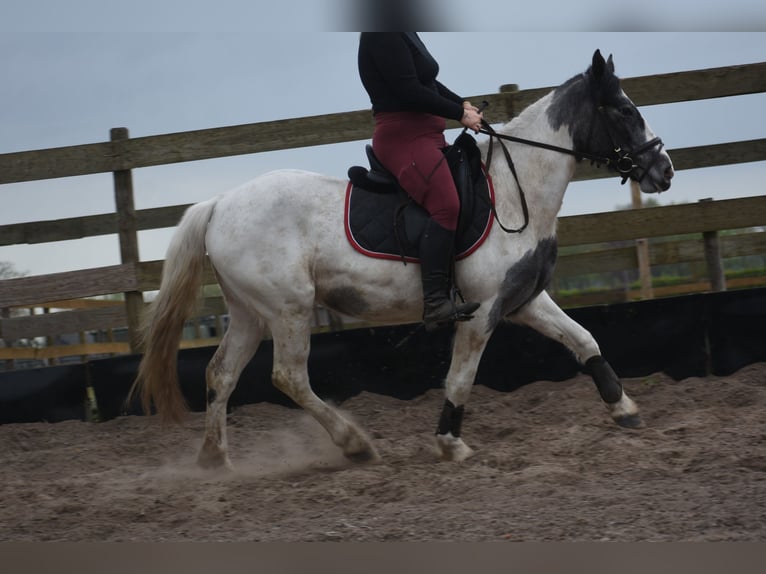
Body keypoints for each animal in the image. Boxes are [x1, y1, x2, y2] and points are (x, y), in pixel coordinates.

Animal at [131, 50, 674, 469]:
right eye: (624, 110)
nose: (664, 170)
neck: (513, 192)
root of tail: (220, 203)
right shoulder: (481, 311)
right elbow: (461, 378)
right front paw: (450, 443)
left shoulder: (523, 300)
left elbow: (584, 340)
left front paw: (624, 409)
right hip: (288, 308)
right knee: (288, 375)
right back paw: (354, 444)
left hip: (249, 311)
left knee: (221, 374)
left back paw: (214, 459)